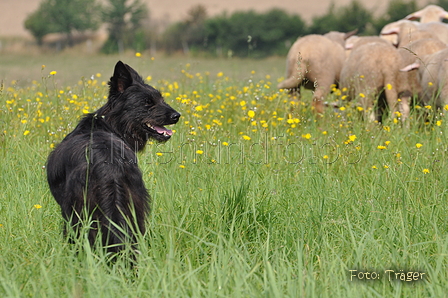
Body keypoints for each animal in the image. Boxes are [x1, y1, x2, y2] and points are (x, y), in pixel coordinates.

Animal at [46, 61, 180, 254]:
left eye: (161, 99)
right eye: (147, 103)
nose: (177, 116)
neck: (111, 124)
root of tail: (108, 166)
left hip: (77, 215)